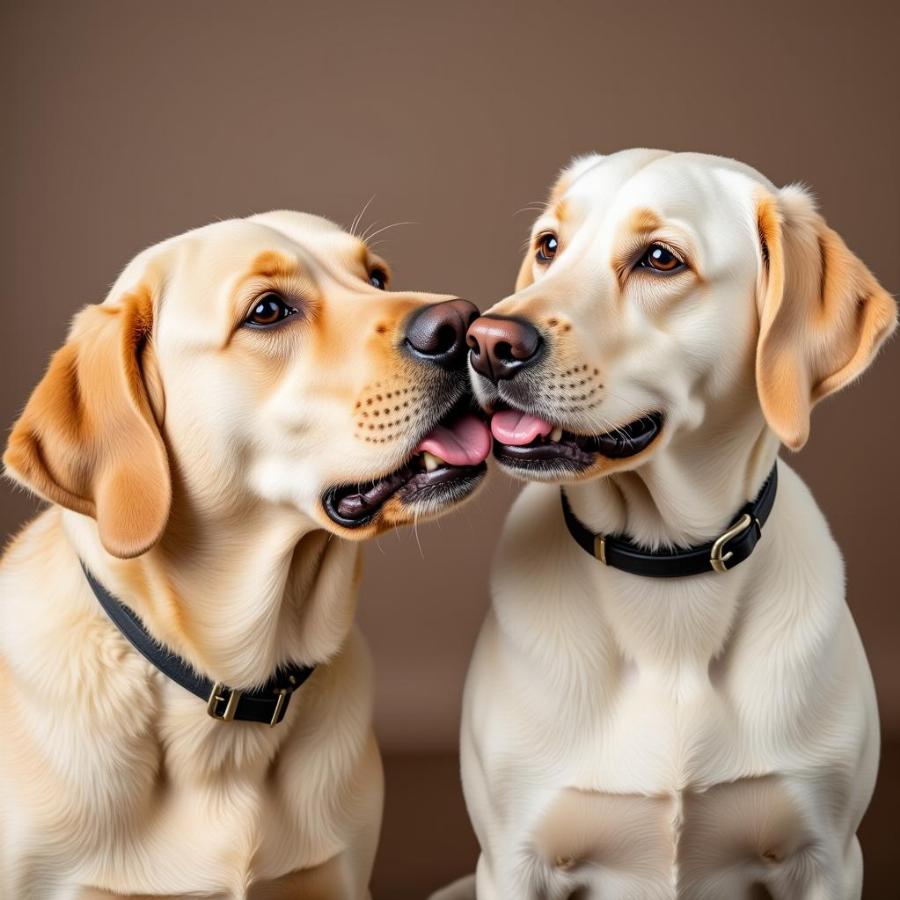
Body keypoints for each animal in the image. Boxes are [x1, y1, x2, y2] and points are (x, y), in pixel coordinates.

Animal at [436, 149, 892, 900]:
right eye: (549, 246)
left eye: (659, 258)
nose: (484, 341)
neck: (665, 578)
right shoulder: (510, 863)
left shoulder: (827, 858)